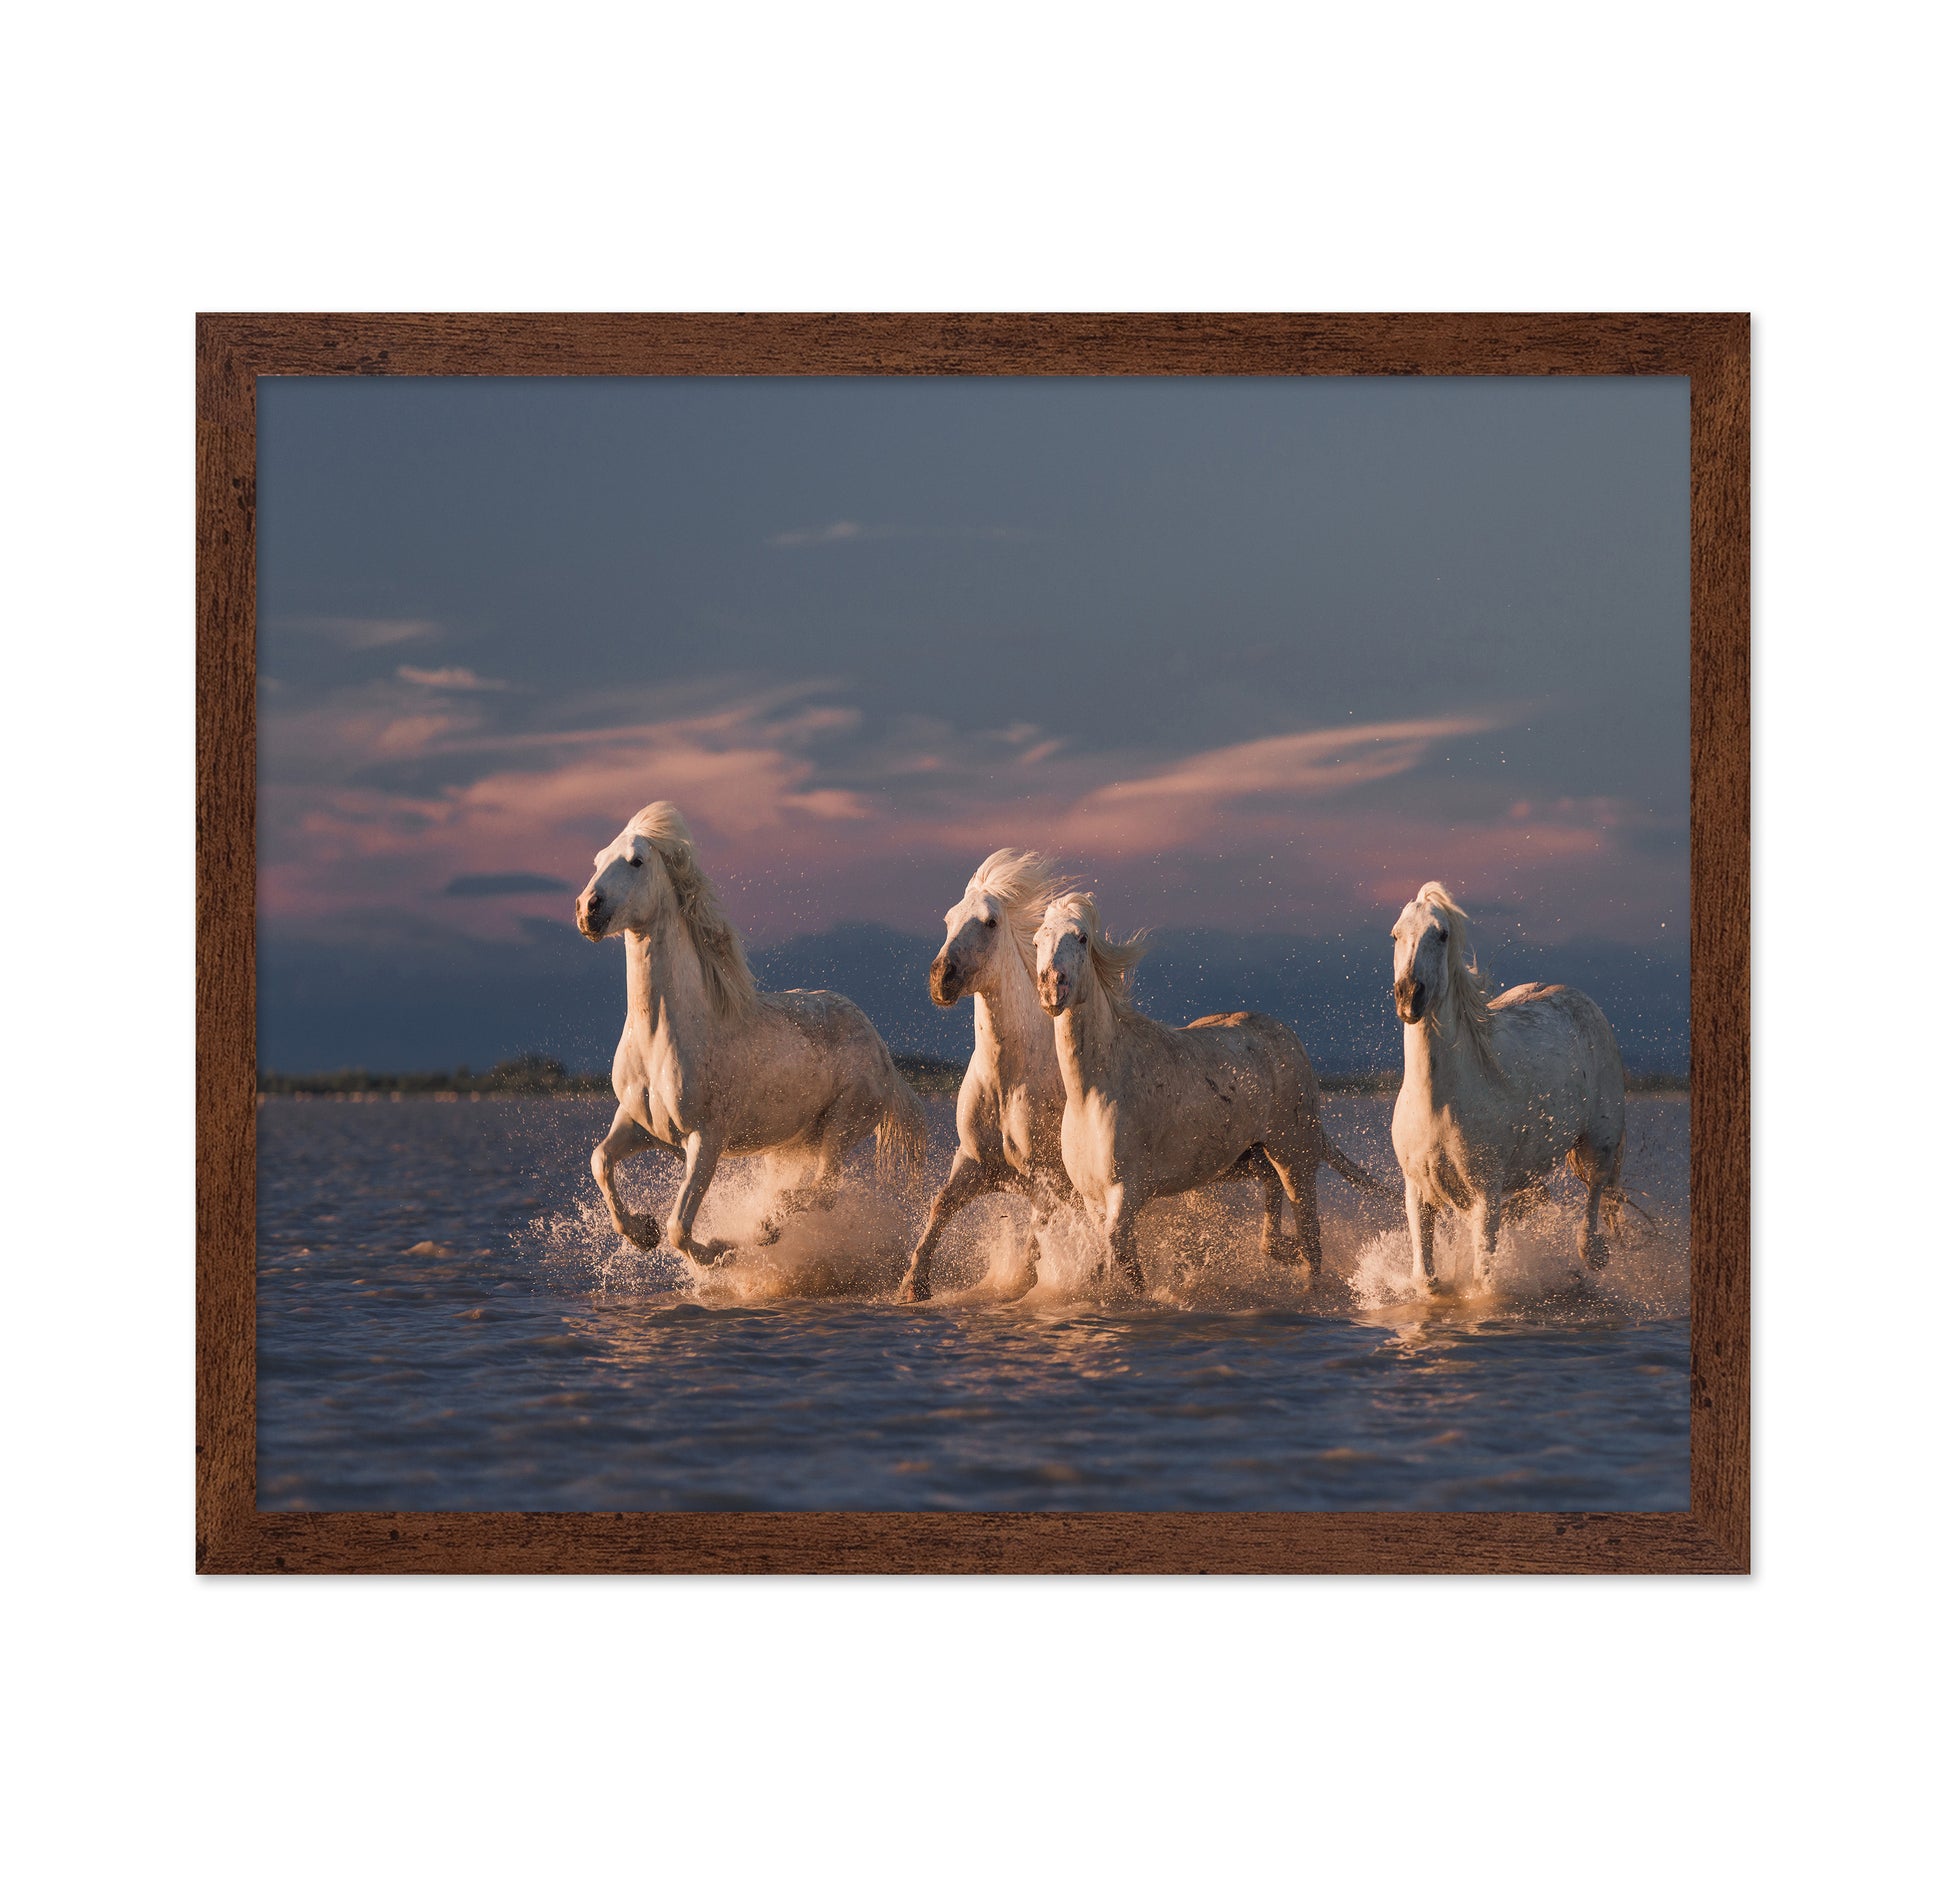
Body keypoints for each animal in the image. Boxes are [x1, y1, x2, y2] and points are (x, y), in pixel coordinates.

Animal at [575, 802, 926, 1265]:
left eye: (636, 861)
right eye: (598, 860)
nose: (588, 910)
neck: (662, 1038)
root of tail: (881, 1047)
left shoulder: (706, 1139)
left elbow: (680, 1227)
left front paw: (719, 1250)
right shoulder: (638, 1124)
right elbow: (600, 1160)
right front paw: (640, 1231)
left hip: (842, 1126)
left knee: (825, 1190)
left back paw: (767, 1225)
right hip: (795, 1142)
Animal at [1033, 892, 1377, 1293]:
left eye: (1082, 938)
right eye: (1038, 941)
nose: (1051, 987)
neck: (1094, 1092)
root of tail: (1289, 1038)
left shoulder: (1127, 1191)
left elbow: (1117, 1254)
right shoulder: (1093, 1199)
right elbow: (1118, 1260)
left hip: (1296, 1157)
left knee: (1311, 1238)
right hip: (1249, 1160)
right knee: (1275, 1204)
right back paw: (1280, 1251)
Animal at [1389, 881, 1628, 1292]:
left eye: (1442, 934)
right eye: (1396, 934)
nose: (1409, 997)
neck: (1438, 1102)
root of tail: (1578, 996)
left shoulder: (1486, 1193)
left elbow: (1483, 1279)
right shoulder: (1418, 1191)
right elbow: (1426, 1278)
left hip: (1599, 1140)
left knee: (1596, 1188)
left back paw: (1593, 1253)